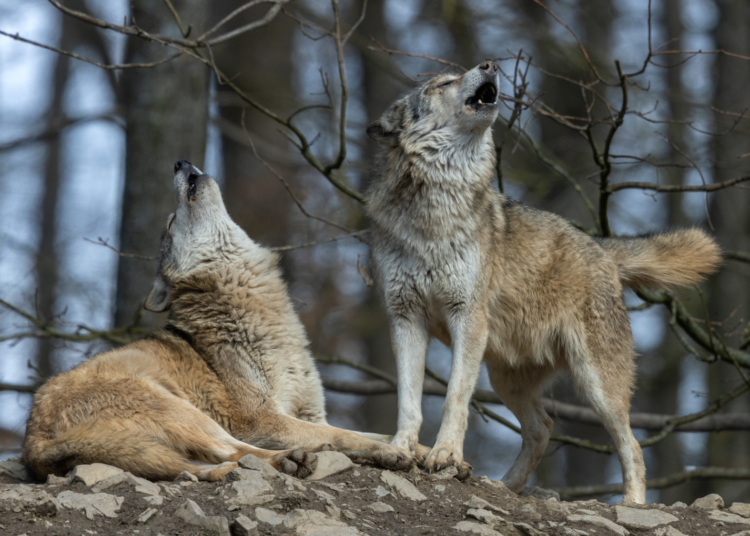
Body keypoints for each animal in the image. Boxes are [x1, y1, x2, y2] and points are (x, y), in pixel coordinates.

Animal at [23, 160, 413, 482]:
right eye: (170, 221)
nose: (179, 162)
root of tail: (33, 445)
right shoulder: (261, 418)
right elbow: (343, 435)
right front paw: (387, 452)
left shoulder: (312, 413)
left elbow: (369, 432)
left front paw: (414, 450)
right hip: (182, 410)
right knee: (236, 452)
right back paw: (290, 459)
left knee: (204, 463)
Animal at [365, 61, 721, 503]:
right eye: (443, 82)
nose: (489, 64)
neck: (434, 209)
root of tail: (601, 247)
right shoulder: (405, 318)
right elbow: (409, 401)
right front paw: (399, 449)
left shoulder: (467, 318)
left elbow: (454, 398)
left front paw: (445, 455)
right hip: (505, 379)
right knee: (543, 428)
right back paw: (505, 486)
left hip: (596, 384)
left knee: (632, 445)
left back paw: (632, 504)